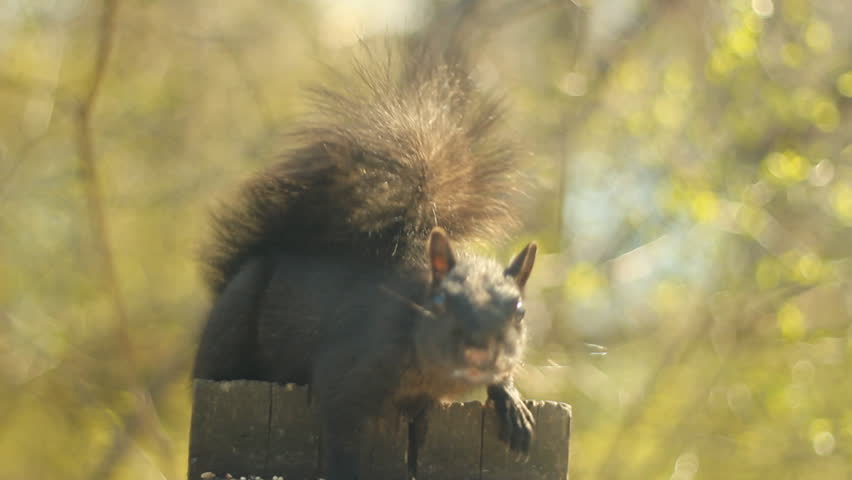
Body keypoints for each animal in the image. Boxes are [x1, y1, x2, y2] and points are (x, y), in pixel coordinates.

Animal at [192, 37, 537, 480]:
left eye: (520, 311)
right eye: (440, 302)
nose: (480, 349)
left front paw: (512, 404)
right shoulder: (349, 367)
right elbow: (341, 431)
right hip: (234, 319)